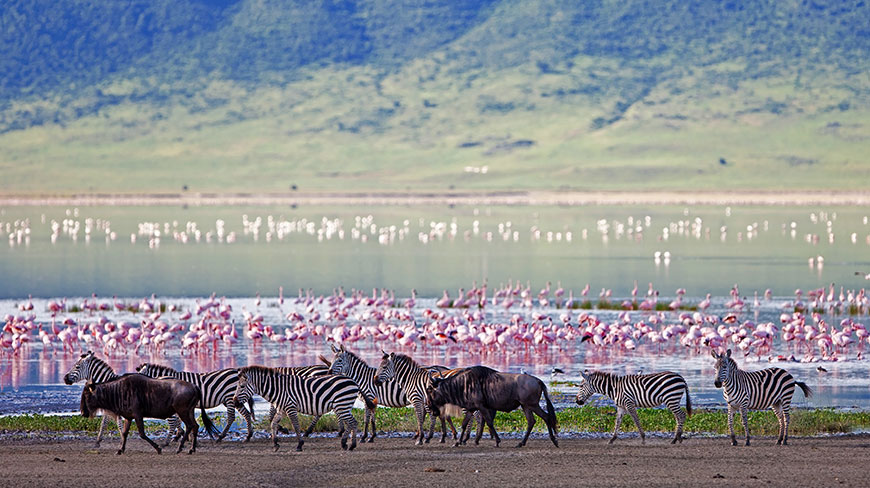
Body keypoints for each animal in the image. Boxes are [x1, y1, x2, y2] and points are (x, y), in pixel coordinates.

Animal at [233, 365, 366, 451]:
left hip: (342, 405)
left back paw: (352, 445)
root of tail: (353, 381)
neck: (278, 389)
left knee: (353, 422)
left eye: (242, 386)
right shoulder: (282, 409)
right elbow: (273, 424)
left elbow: (296, 426)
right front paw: (276, 444)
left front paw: (299, 445)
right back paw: (345, 444)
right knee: (351, 423)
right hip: (343, 406)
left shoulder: (290, 407)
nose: (234, 402)